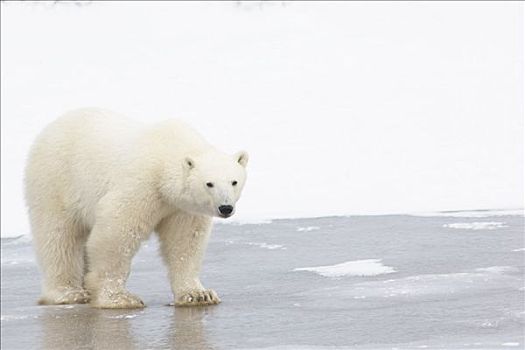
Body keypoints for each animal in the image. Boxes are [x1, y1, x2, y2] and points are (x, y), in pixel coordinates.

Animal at [25, 107, 251, 308]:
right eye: (209, 184)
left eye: (234, 182)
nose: (225, 208)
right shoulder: (142, 184)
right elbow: (116, 234)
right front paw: (119, 298)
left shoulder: (182, 208)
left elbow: (185, 243)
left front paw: (198, 295)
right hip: (56, 180)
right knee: (58, 237)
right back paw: (69, 293)